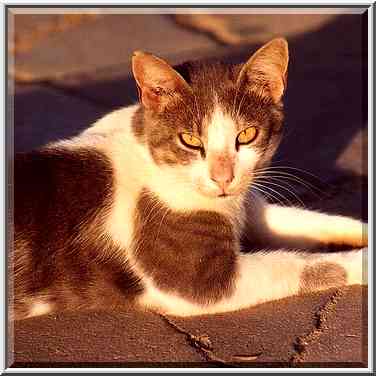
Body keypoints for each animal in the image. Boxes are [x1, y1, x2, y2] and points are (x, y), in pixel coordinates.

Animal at [11, 37, 368, 320]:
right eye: (191, 140)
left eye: (247, 135)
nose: (223, 177)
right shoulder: (197, 280)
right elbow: (299, 264)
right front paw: (360, 260)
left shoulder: (251, 207)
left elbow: (301, 221)